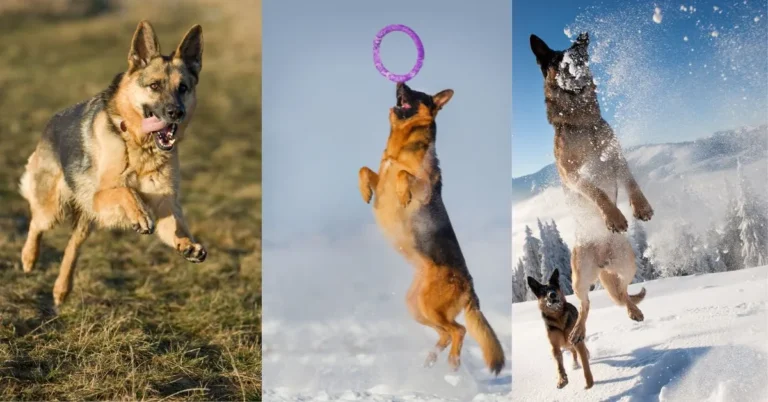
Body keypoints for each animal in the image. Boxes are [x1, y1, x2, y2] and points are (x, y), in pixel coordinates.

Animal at [20, 20, 207, 306]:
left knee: (73, 245)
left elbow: (176, 225)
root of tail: (50, 123)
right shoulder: (100, 195)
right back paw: (29, 259)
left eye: (183, 88)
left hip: (86, 219)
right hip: (54, 209)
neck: (139, 146)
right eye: (154, 86)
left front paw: (187, 245)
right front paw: (140, 215)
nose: (176, 113)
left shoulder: (165, 202)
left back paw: (62, 288)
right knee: (35, 224)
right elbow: (125, 191)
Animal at [358, 83, 504, 376]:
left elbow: (403, 175)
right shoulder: (381, 179)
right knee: (446, 333)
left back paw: (453, 362)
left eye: (418, 93)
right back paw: (431, 359)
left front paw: (403, 194)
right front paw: (364, 191)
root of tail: (470, 286)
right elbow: (365, 169)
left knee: (458, 330)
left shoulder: (423, 187)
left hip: (429, 306)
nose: (400, 83)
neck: (401, 146)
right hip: (416, 306)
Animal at [532, 32, 652, 346]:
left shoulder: (617, 158)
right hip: (578, 278)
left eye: (579, 53)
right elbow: (597, 191)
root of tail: (602, 262)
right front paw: (614, 217)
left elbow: (631, 181)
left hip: (627, 264)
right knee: (585, 305)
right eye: (556, 59)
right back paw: (577, 331)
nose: (579, 43)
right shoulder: (573, 175)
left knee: (622, 291)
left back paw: (634, 310)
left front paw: (641, 207)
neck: (582, 122)